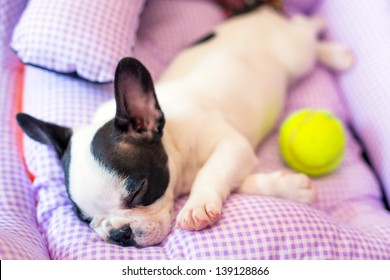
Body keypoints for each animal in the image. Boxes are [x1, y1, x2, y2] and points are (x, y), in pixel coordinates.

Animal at [16, 7, 354, 247]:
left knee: (305, 30)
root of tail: (256, 12)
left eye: (137, 192)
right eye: (84, 218)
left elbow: (211, 172)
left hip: (296, 54)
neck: (174, 144)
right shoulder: (237, 156)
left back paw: (335, 50)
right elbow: (237, 181)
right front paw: (291, 186)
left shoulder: (232, 146)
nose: (119, 234)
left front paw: (197, 206)